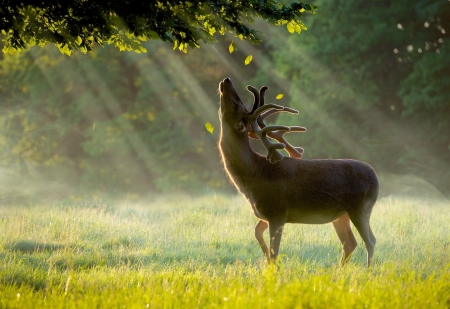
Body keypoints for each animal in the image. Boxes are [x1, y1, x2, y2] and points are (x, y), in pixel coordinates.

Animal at [218, 76, 380, 264]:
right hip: (341, 214)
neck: (253, 176)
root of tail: (376, 178)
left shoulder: (277, 212)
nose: (227, 80)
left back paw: (368, 269)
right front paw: (265, 259)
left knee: (370, 240)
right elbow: (257, 233)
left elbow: (274, 252)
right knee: (350, 242)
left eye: (236, 105)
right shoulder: (266, 214)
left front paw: (272, 266)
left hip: (361, 207)